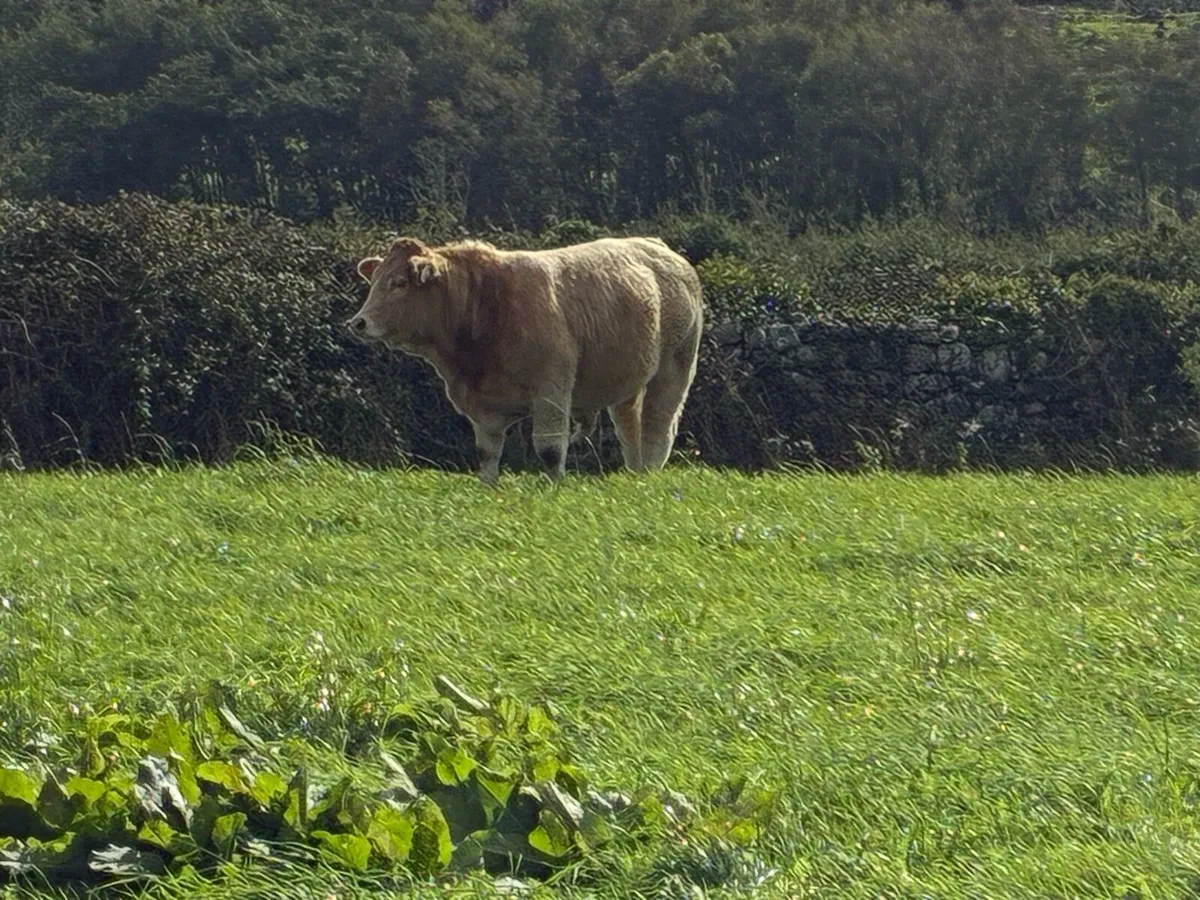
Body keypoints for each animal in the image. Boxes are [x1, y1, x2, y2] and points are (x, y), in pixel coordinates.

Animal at [346, 235, 704, 485]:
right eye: (373, 281)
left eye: (399, 283)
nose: (358, 322)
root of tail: (660, 248)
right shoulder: (483, 407)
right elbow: (487, 452)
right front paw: (487, 486)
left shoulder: (551, 392)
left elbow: (549, 448)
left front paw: (554, 487)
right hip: (626, 381)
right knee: (630, 428)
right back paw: (635, 474)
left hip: (675, 369)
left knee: (659, 427)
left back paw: (650, 474)